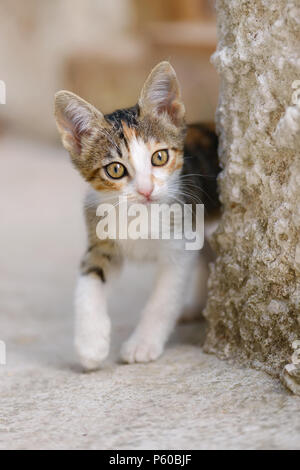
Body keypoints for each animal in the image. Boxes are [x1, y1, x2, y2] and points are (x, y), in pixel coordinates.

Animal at [54, 62, 220, 370]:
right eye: (115, 170)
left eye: (160, 157)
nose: (146, 190)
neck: (140, 213)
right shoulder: (100, 238)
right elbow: (88, 280)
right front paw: (90, 344)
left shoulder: (180, 245)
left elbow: (163, 299)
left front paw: (142, 344)